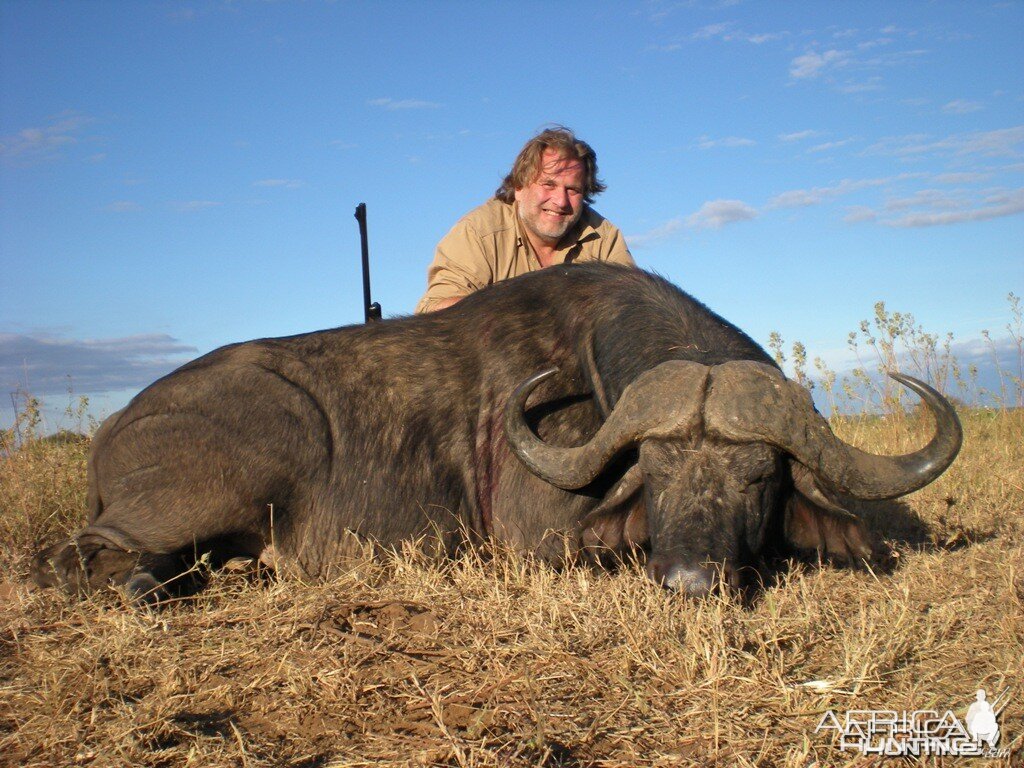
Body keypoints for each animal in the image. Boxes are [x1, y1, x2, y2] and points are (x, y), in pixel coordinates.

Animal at [32, 264, 958, 602]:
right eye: (654, 468)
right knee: (75, 561)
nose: (690, 579)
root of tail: (117, 426)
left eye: (759, 475)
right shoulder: (539, 538)